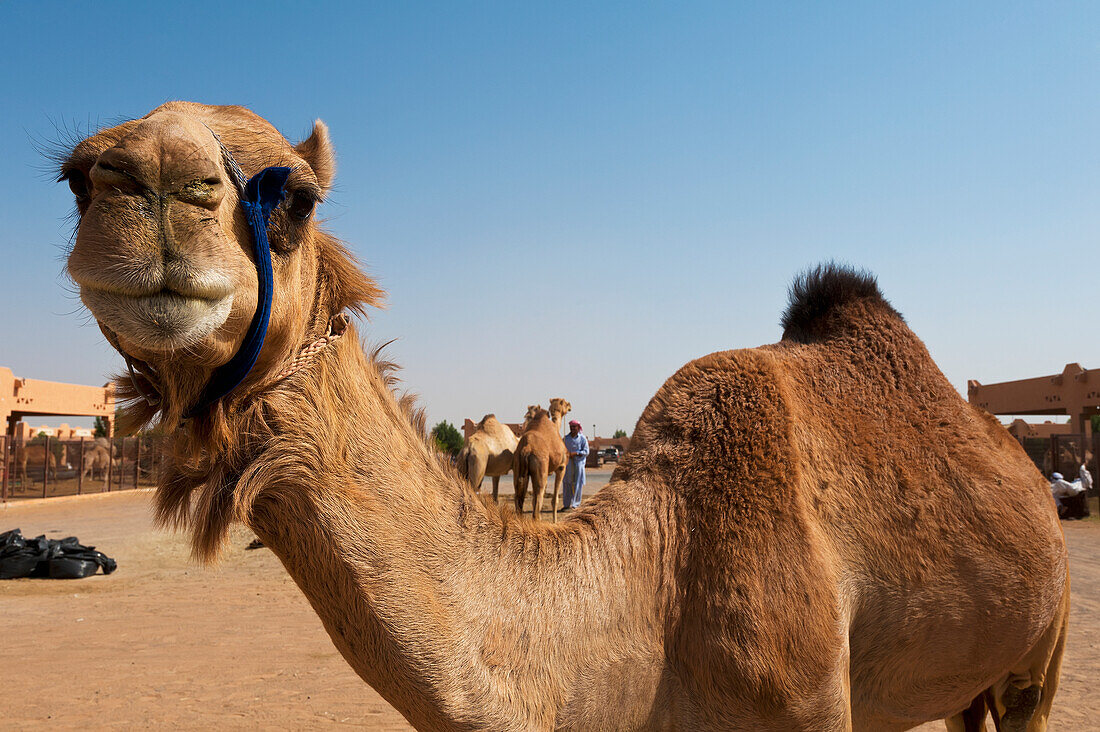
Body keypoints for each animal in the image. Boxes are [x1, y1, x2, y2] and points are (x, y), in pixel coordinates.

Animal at [60, 104, 1064, 730]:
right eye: (73, 180)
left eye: (295, 200)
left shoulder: (812, 700)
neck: (656, 592)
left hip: (1040, 651)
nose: (145, 176)